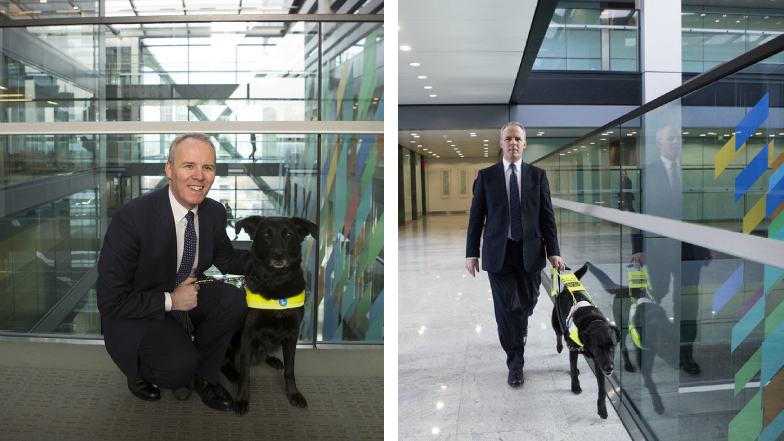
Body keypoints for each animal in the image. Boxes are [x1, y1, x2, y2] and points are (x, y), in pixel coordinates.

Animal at [220, 215, 318, 414]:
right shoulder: (248, 334)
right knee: (227, 362)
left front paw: (294, 394)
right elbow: (245, 373)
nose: (278, 255)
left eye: (288, 235)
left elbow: (290, 370)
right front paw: (242, 398)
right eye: (266, 235)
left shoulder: (292, 334)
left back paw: (272, 359)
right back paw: (233, 373)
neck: (276, 282)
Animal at [552, 262, 620, 418]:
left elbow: (602, 389)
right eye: (599, 347)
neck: (593, 321)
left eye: (612, 346)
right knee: (558, 334)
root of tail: (566, 289)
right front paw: (575, 386)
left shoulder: (599, 363)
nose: (610, 368)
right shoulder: (575, 350)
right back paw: (559, 346)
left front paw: (602, 408)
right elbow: (572, 367)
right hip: (556, 321)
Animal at [580, 262, 672, 412]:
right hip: (622, 328)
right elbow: (648, 375)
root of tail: (620, 288)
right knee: (623, 346)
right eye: (665, 344)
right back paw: (628, 364)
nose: (677, 363)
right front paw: (657, 402)